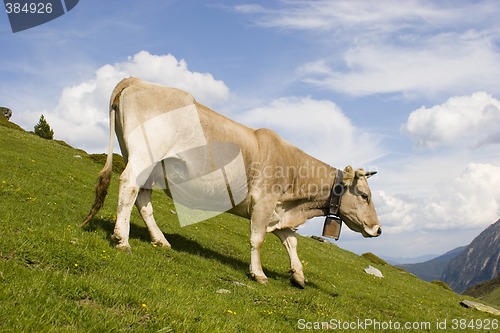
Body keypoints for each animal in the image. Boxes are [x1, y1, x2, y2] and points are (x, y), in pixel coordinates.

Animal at [82, 76, 380, 286]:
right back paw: (122, 240)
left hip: (151, 166)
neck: (298, 204)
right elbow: (258, 239)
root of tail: (137, 80)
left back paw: (160, 240)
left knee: (143, 199)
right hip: (144, 156)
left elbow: (292, 242)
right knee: (129, 185)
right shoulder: (264, 202)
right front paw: (258, 274)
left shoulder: (279, 210)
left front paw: (298, 276)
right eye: (365, 196)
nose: (377, 229)